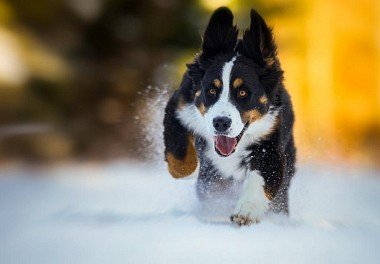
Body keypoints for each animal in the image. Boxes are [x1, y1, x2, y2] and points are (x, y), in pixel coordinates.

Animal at [162, 6, 296, 225]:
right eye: (211, 90)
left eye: (242, 92)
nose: (221, 123)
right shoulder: (179, 105)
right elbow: (178, 153)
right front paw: (186, 171)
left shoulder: (271, 141)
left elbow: (262, 178)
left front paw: (246, 211)